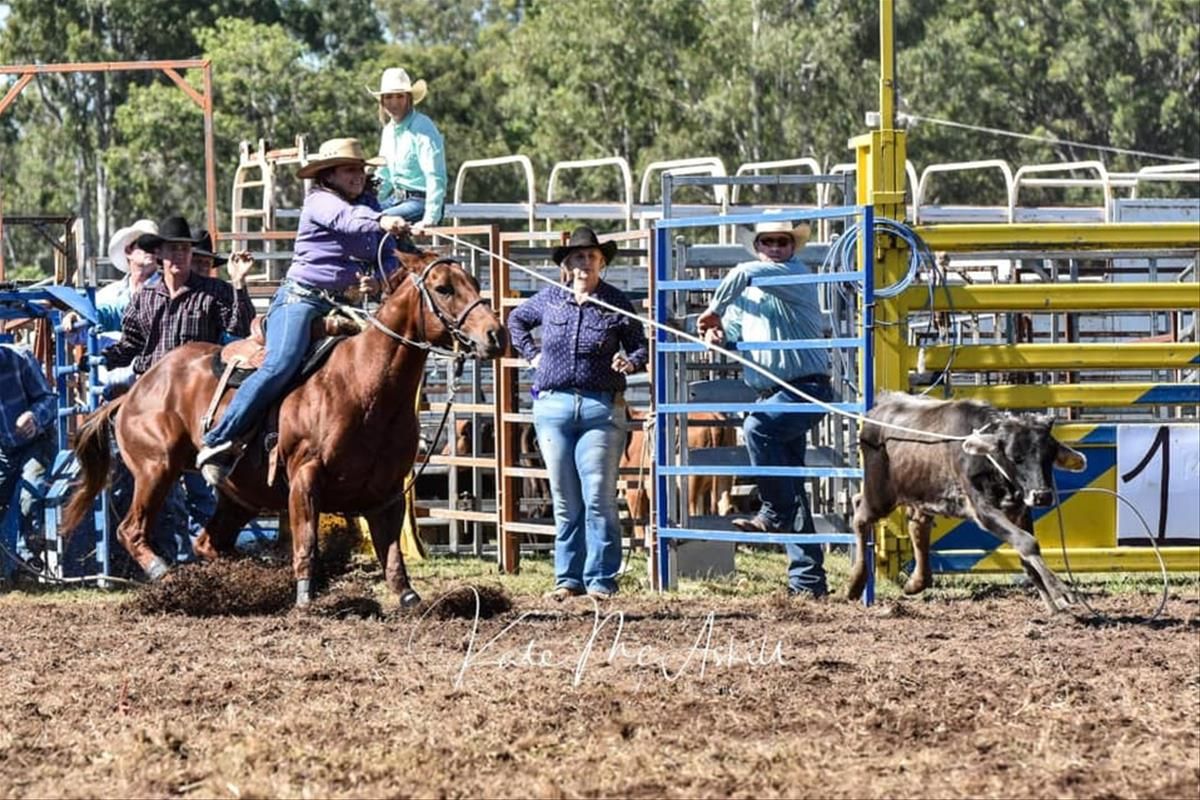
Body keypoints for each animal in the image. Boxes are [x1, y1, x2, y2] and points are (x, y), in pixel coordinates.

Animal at [65, 253, 506, 609]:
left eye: (473, 281)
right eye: (444, 288)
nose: (496, 335)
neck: (362, 383)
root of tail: (134, 391)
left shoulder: (388, 491)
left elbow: (392, 552)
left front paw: (409, 598)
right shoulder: (304, 479)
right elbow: (307, 540)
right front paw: (307, 598)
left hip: (239, 496)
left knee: (207, 542)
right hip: (156, 469)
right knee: (132, 530)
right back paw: (166, 573)